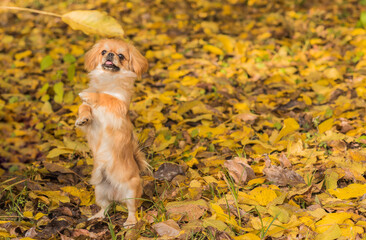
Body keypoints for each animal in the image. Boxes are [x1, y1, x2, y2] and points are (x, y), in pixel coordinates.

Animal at [75, 38, 149, 228]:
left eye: (121, 56)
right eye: (103, 52)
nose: (110, 55)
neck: (107, 79)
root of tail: (117, 195)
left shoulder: (118, 104)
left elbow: (106, 97)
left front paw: (89, 95)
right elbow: (84, 107)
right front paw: (83, 118)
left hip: (130, 189)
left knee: (132, 209)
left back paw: (130, 222)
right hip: (100, 190)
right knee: (106, 207)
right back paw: (97, 217)